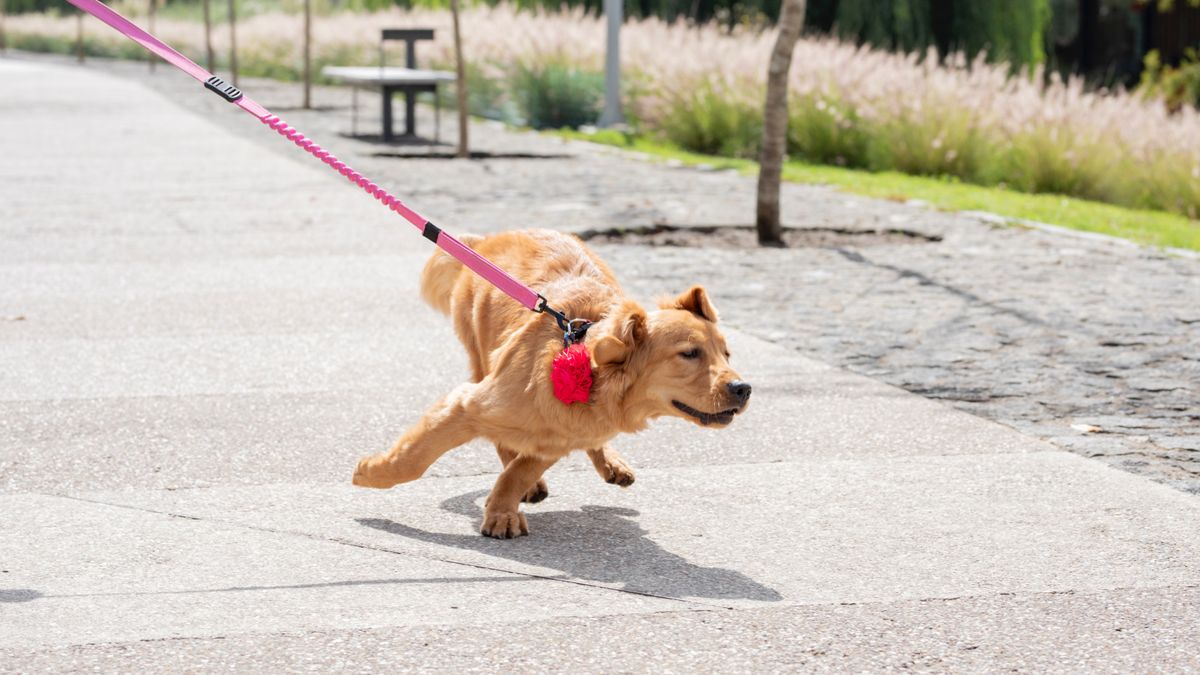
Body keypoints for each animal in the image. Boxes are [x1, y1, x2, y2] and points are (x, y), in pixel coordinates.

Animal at [350, 229, 753, 535]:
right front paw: (371, 473)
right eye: (689, 353)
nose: (743, 389)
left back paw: (608, 463)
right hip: (481, 354)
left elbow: (519, 471)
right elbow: (414, 459)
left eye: (726, 354)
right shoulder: (468, 403)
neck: (591, 377)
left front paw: (502, 510)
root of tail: (490, 238)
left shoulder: (560, 437)